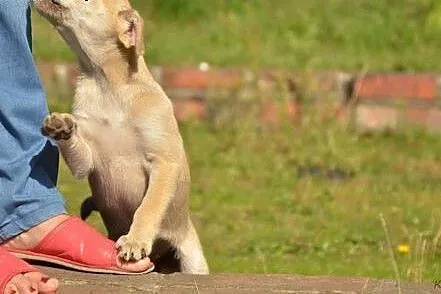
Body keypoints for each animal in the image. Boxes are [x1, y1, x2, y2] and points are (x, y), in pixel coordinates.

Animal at [32, 0, 208, 274]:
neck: (107, 85)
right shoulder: (88, 161)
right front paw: (61, 126)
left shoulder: (164, 163)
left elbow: (148, 206)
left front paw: (135, 241)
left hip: (193, 261)